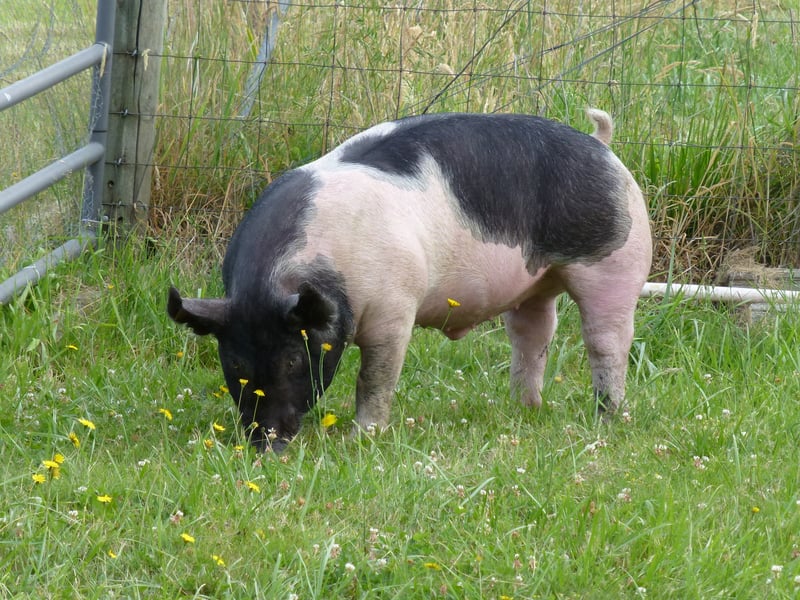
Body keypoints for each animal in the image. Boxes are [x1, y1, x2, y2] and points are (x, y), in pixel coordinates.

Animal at [168, 109, 652, 452]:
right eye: (235, 363)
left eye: (292, 359)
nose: (266, 444)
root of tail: (603, 147)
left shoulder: (394, 308)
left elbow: (374, 377)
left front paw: (362, 438)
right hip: (535, 284)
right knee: (533, 334)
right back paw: (524, 409)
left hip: (615, 261)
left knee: (607, 340)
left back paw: (607, 416)